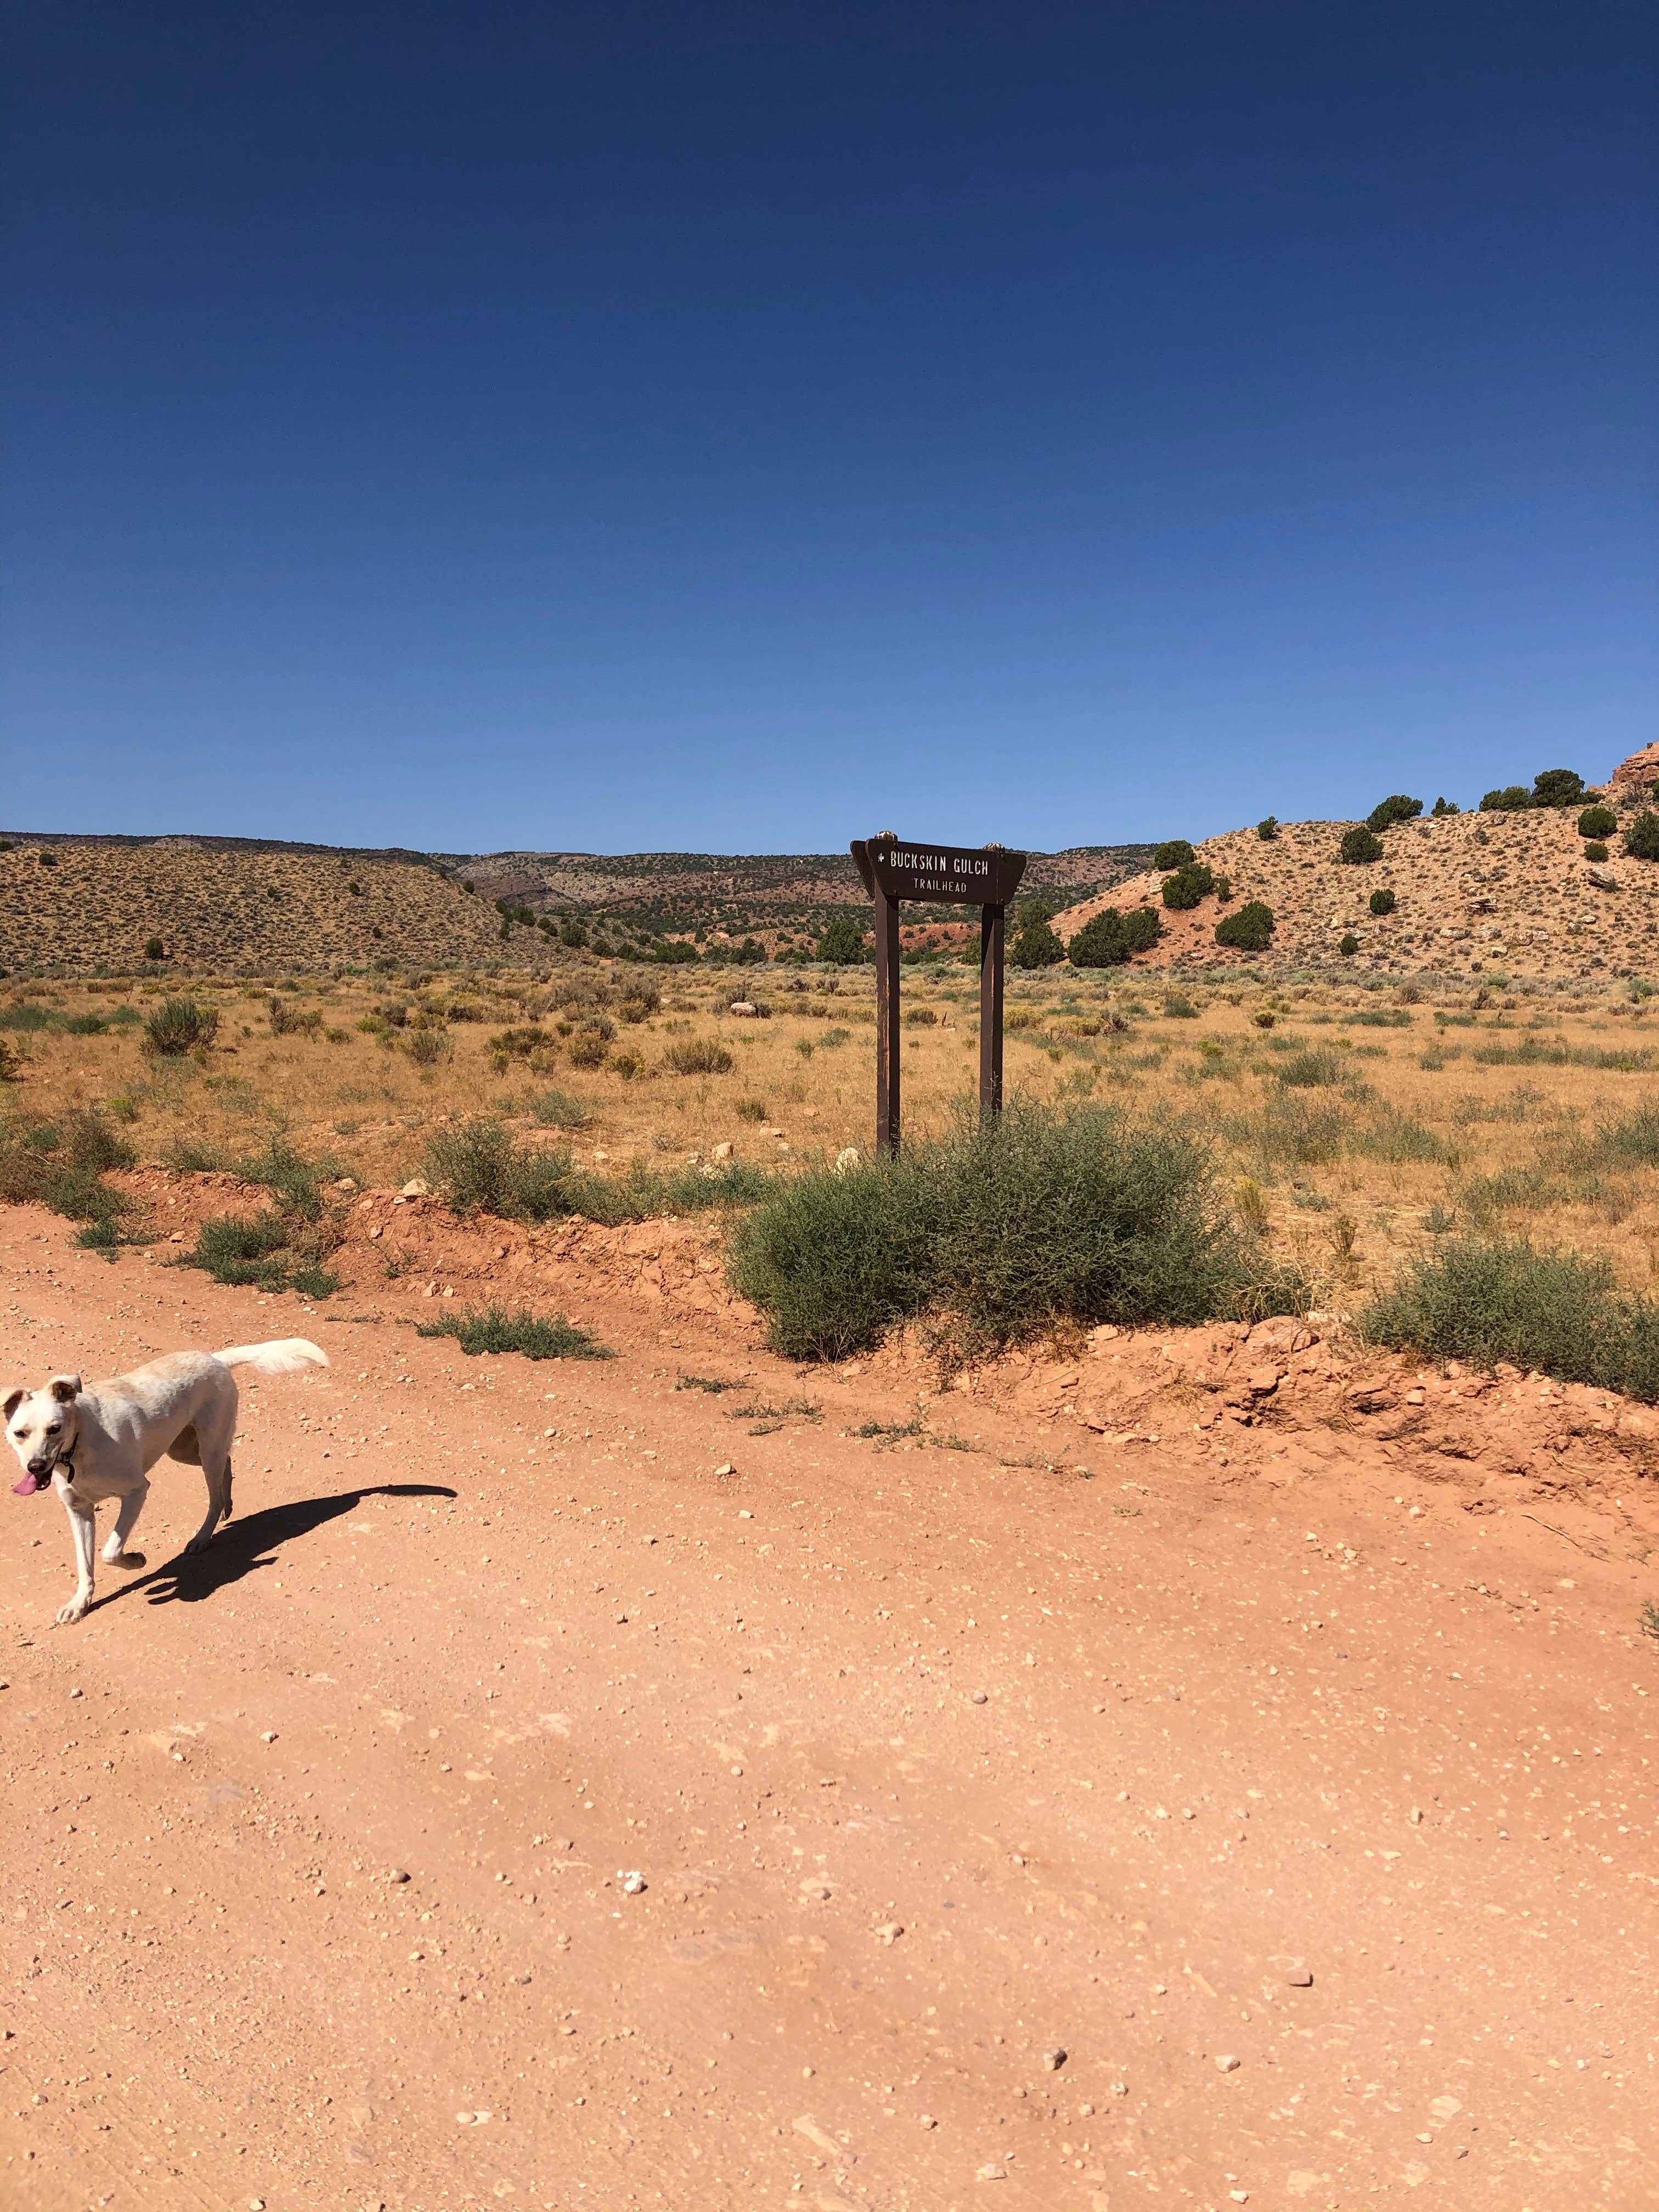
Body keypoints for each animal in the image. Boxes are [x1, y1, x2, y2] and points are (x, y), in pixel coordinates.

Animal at [4, 1327, 327, 1628]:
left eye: (54, 1429)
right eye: (19, 1434)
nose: (35, 1466)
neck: (80, 1443)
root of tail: (216, 1359)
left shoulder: (137, 1491)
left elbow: (110, 1551)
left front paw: (135, 1560)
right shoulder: (79, 1511)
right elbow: (86, 1565)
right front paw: (79, 1604)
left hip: (206, 1450)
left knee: (215, 1494)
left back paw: (202, 1537)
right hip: (183, 1450)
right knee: (228, 1462)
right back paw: (229, 1506)